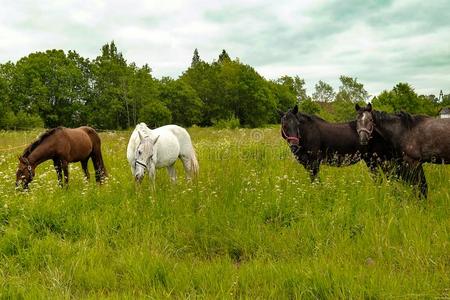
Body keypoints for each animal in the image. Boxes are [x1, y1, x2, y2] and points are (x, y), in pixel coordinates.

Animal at [280, 104, 428, 198]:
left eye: (297, 124)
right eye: (284, 125)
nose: (294, 146)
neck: (308, 133)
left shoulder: (313, 164)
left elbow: (315, 181)